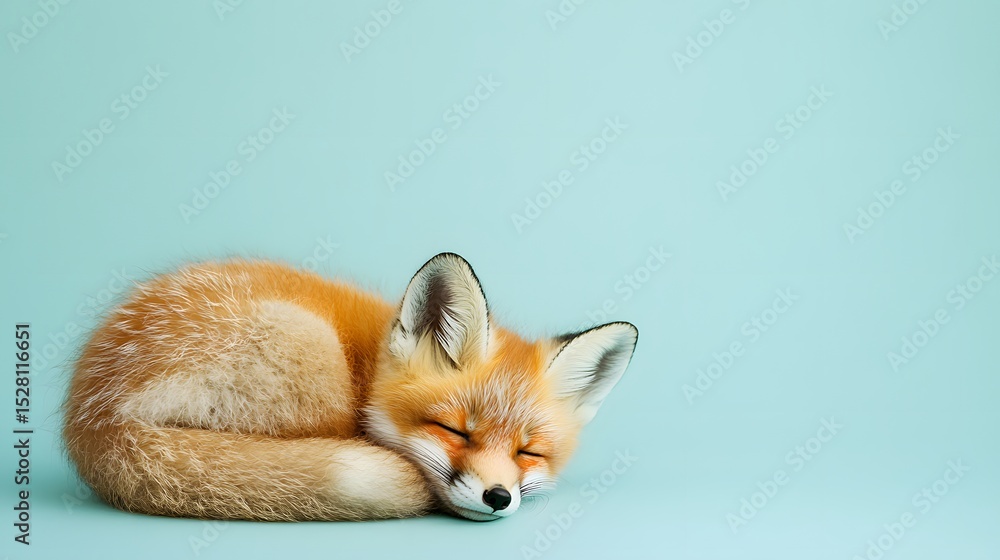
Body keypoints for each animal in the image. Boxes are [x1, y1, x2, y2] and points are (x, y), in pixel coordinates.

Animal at [63, 252, 638, 521]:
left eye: (528, 452)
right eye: (454, 430)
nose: (497, 498)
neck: (371, 358)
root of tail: (93, 416)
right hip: (314, 357)